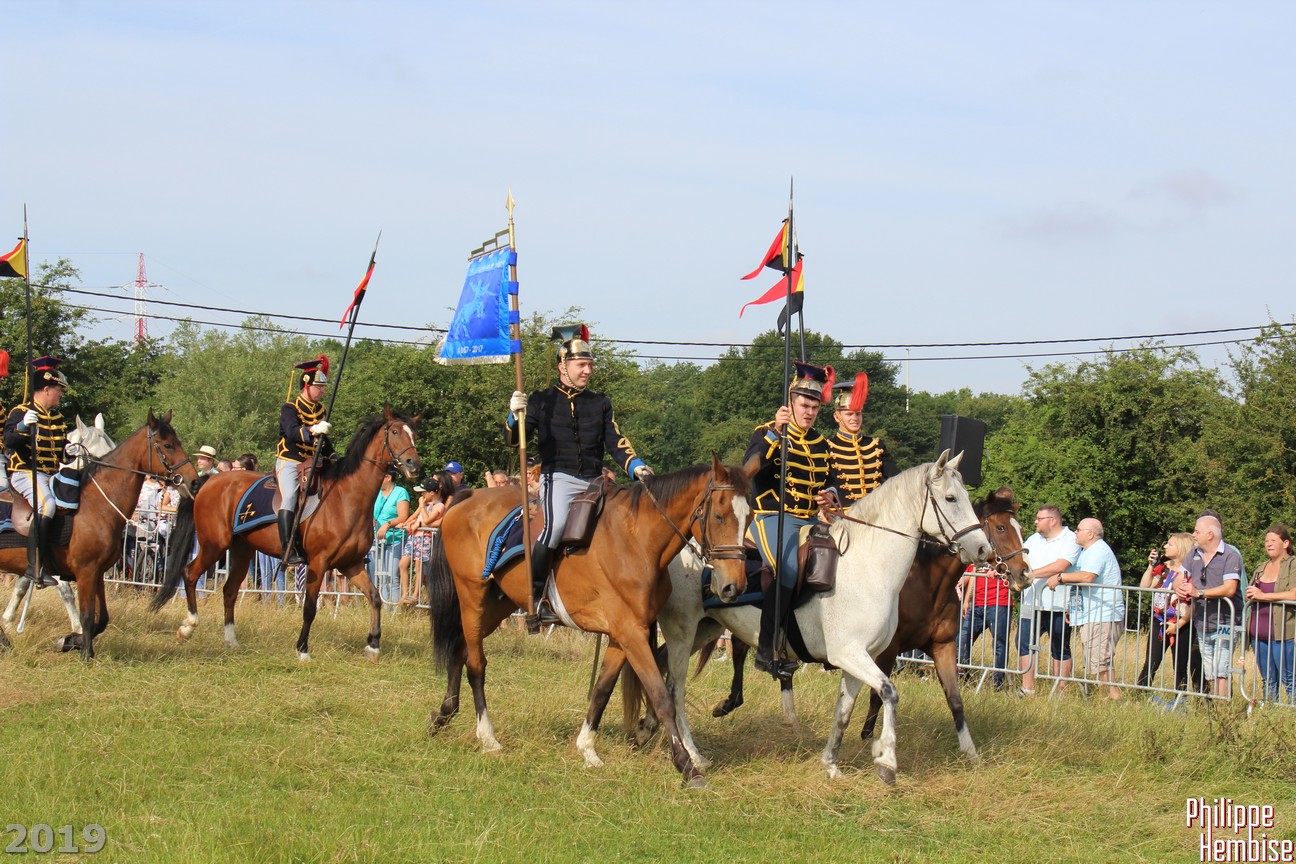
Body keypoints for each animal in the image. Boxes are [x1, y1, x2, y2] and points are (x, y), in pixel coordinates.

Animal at [153, 407, 420, 661]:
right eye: (395, 432)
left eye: (414, 435)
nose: (413, 465)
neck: (346, 498)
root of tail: (207, 482)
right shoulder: (319, 563)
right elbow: (310, 608)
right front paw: (302, 649)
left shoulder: (350, 564)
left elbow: (375, 597)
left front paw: (373, 646)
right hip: (213, 545)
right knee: (189, 573)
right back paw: (188, 627)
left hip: (242, 550)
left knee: (229, 590)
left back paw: (231, 640)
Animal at [426, 456, 750, 787]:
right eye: (720, 516)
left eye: (749, 516)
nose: (733, 586)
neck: (637, 540)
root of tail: (469, 497)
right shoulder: (632, 633)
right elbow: (661, 697)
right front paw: (686, 766)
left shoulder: (622, 635)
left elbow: (602, 690)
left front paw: (587, 749)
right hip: (472, 598)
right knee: (476, 665)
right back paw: (487, 737)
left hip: (496, 605)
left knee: (460, 650)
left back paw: (444, 715)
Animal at [631, 451, 990, 784]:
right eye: (950, 498)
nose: (983, 550)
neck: (868, 566)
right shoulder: (849, 653)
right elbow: (889, 692)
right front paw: (887, 760)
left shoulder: (862, 658)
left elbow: (844, 711)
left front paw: (831, 763)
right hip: (682, 630)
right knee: (674, 688)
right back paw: (693, 756)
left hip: (704, 630)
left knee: (659, 667)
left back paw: (647, 730)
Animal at [699, 491, 1031, 764]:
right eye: (1001, 528)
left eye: (1019, 529)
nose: (1024, 575)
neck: (926, 584)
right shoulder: (886, 650)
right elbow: (875, 695)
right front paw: (868, 738)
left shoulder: (944, 647)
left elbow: (955, 699)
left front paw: (970, 751)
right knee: (741, 652)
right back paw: (733, 703)